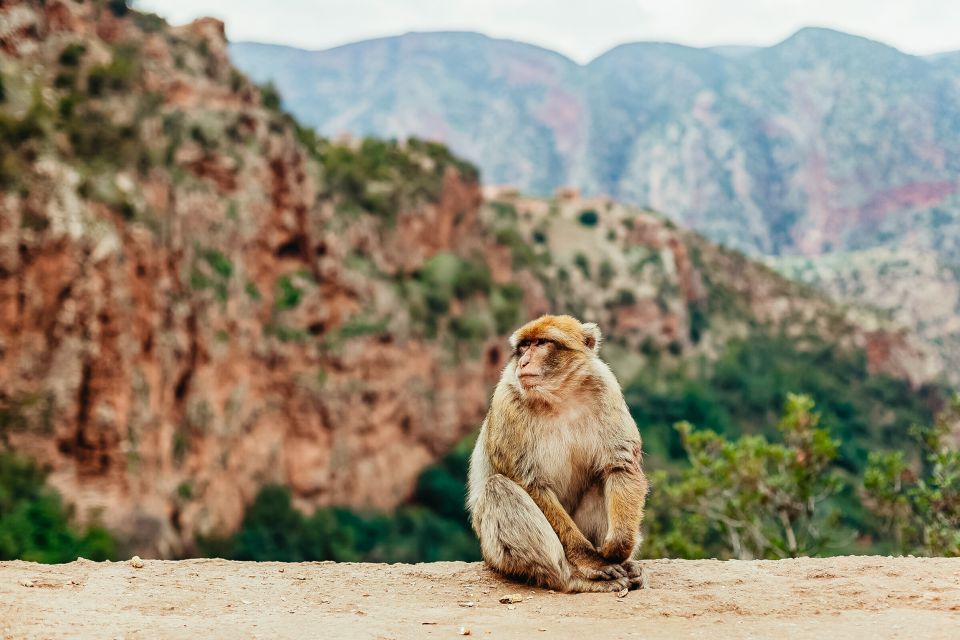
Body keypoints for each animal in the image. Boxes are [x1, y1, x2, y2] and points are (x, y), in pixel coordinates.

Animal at [466, 312, 648, 592]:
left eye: (541, 343)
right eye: (523, 347)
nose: (523, 362)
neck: (559, 397)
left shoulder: (606, 387)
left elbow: (619, 465)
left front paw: (619, 547)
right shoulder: (507, 402)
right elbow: (531, 483)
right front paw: (593, 561)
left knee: (600, 481)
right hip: (495, 554)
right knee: (498, 488)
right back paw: (575, 578)